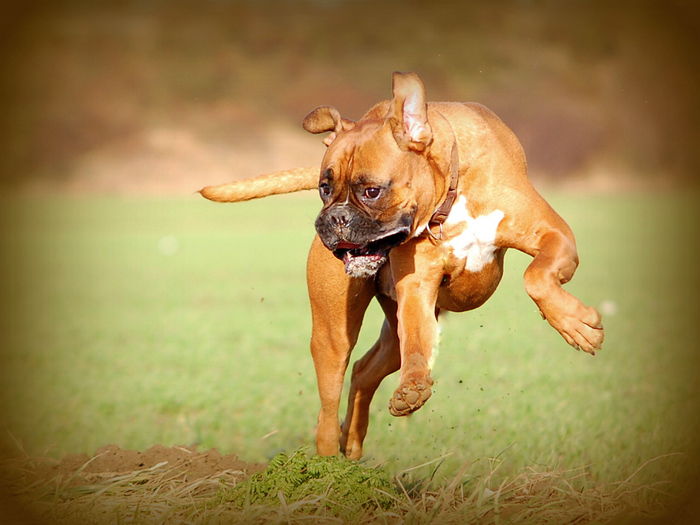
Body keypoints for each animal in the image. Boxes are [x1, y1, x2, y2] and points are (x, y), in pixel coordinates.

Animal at [200, 70, 604, 458]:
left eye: (371, 191)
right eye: (324, 188)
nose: (334, 218)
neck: (453, 188)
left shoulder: (556, 237)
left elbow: (535, 276)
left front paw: (577, 325)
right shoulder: (417, 290)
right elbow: (417, 347)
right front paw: (413, 385)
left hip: (386, 336)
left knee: (364, 372)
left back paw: (353, 441)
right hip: (334, 336)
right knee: (329, 405)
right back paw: (329, 461)